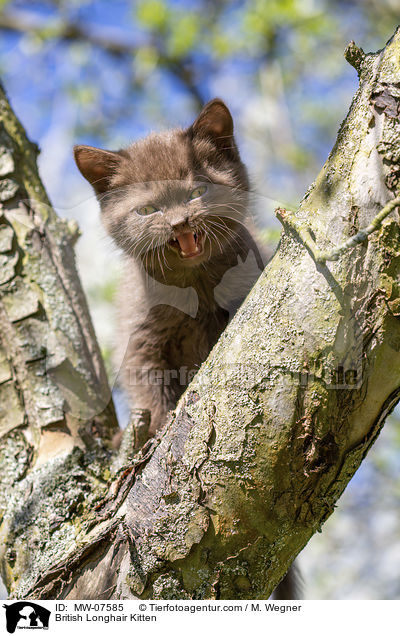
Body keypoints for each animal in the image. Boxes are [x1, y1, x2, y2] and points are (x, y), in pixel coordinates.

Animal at [74, 98, 266, 438]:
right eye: (148, 210)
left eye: (197, 192)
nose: (179, 222)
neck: (197, 285)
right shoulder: (139, 339)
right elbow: (148, 387)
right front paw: (158, 428)